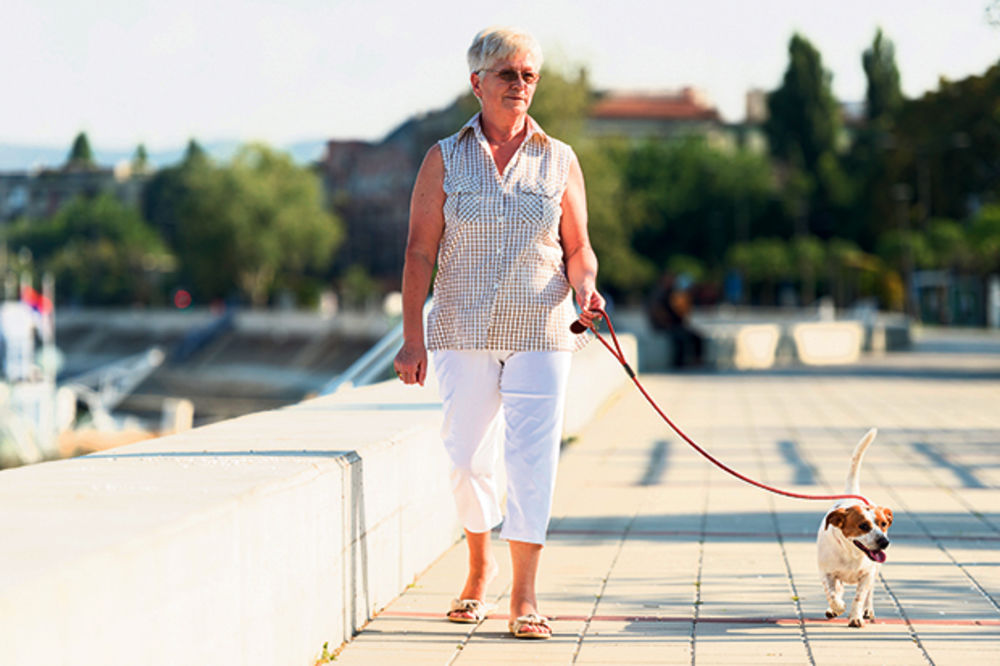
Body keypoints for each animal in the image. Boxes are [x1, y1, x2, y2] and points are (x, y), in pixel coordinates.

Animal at [816, 428, 896, 624]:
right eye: (863, 525)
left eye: (884, 524)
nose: (884, 542)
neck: (852, 554)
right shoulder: (826, 573)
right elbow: (832, 593)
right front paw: (837, 607)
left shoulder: (867, 575)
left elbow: (860, 596)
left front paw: (856, 617)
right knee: (838, 589)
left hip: (875, 571)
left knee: (869, 594)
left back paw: (867, 610)